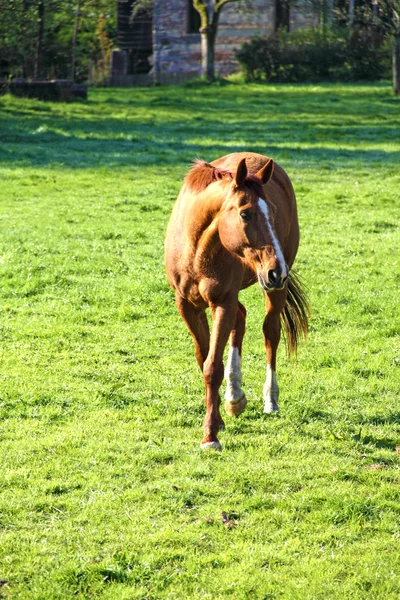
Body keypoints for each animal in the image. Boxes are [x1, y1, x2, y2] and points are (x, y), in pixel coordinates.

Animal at [164, 152, 308, 448]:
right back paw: (235, 396)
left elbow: (212, 367)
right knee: (240, 321)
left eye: (273, 213)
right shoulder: (186, 306)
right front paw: (218, 418)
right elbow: (204, 359)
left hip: (272, 289)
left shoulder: (222, 302)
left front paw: (210, 435)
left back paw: (270, 399)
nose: (277, 270)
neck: (196, 249)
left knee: (270, 332)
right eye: (245, 213)